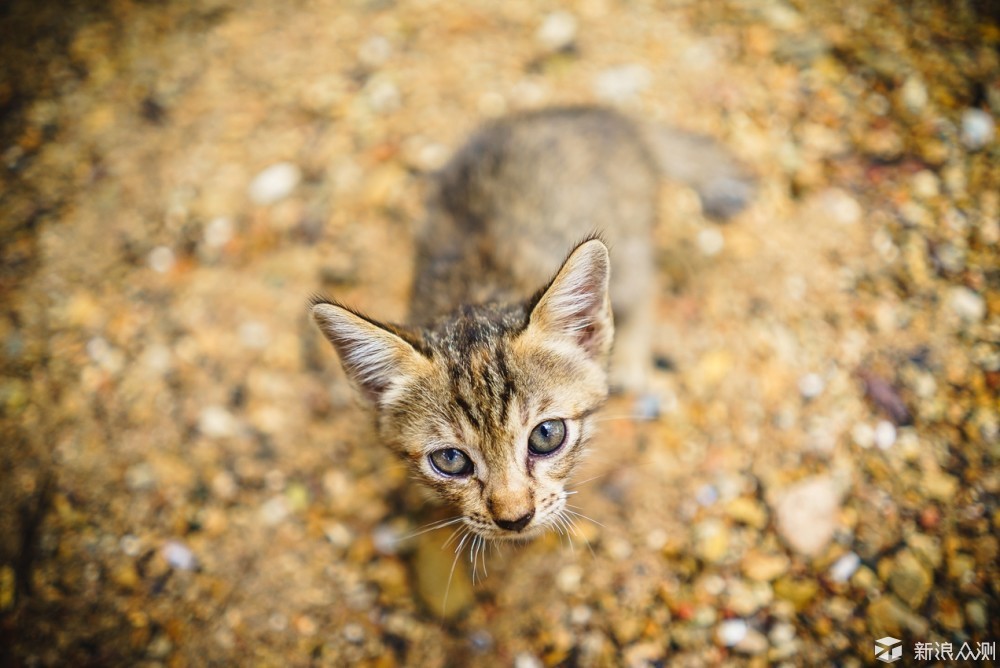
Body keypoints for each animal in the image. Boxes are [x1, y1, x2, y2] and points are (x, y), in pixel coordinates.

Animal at [312, 107, 752, 540]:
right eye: (451, 459)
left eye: (546, 435)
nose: (514, 518)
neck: (478, 288)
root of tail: (606, 116)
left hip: (630, 242)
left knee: (645, 283)